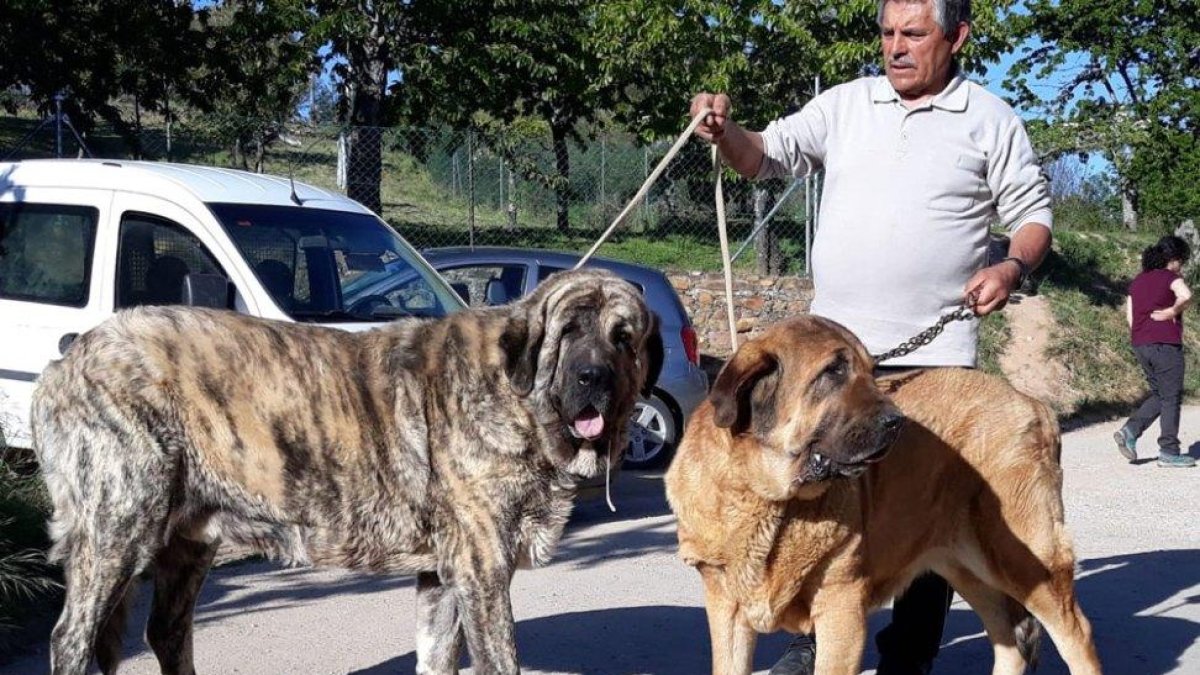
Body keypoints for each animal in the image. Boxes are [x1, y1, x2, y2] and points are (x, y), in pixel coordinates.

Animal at [32, 267, 662, 672]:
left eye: (624, 339)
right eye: (569, 333)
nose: (594, 379)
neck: (517, 397)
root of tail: (67, 358)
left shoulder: (443, 577)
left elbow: (437, 658)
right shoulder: (481, 571)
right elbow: (499, 660)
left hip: (188, 540)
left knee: (164, 630)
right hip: (117, 528)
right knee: (71, 638)